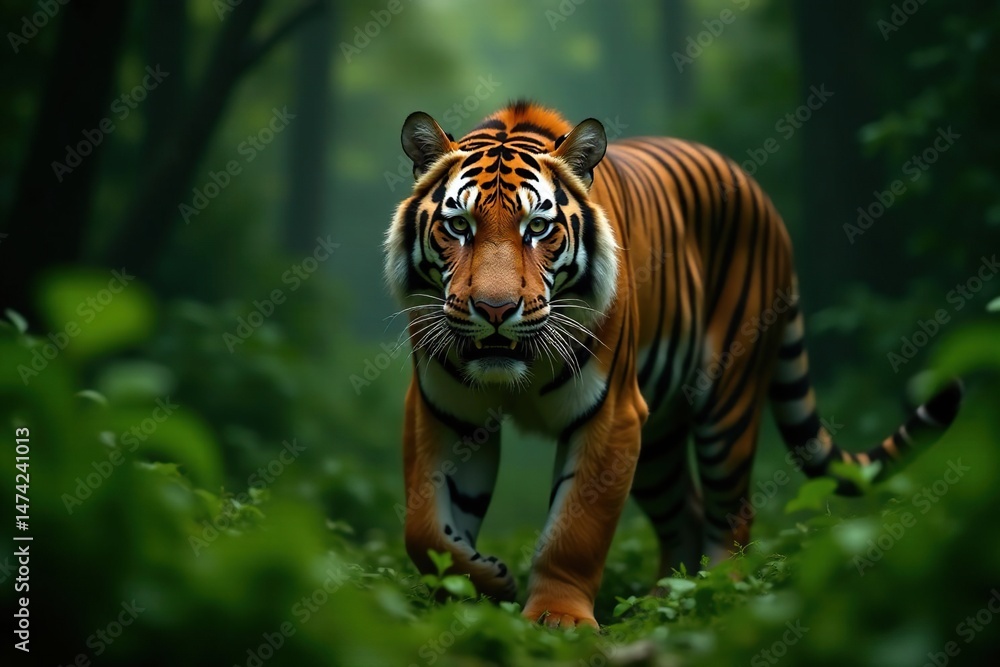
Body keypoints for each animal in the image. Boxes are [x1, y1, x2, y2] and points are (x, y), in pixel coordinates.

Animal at [383, 100, 963, 628]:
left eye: (538, 228)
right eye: (459, 226)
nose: (496, 310)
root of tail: (764, 201)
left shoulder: (610, 413)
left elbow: (576, 528)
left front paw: (557, 618)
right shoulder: (442, 410)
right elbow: (424, 528)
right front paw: (479, 583)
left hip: (726, 406)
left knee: (731, 511)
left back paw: (717, 593)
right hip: (657, 441)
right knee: (684, 512)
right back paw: (666, 600)